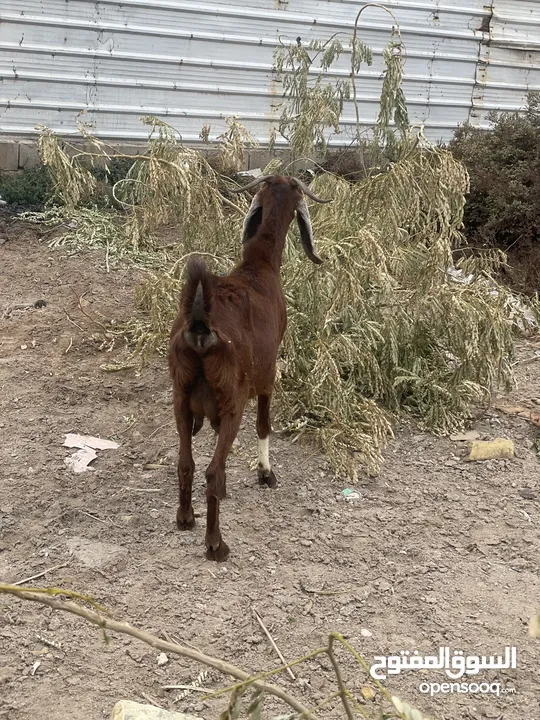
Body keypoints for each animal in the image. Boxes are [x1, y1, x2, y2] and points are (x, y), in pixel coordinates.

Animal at [169, 174, 330, 564]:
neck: (258, 267)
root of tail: (201, 327)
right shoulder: (267, 374)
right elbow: (263, 425)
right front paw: (266, 474)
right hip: (233, 401)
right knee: (210, 470)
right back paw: (216, 544)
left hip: (180, 398)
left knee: (186, 462)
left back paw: (186, 517)